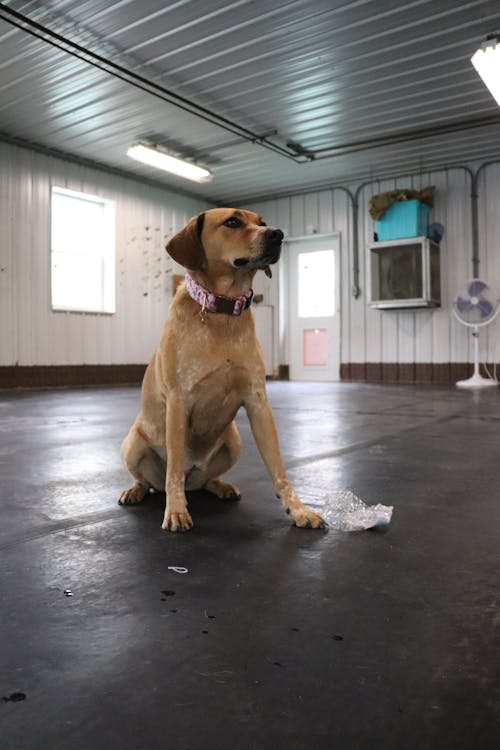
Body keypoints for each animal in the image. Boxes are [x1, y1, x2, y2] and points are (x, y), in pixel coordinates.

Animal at [119, 209, 326, 532]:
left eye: (262, 223)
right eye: (232, 222)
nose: (277, 234)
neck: (222, 312)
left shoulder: (257, 401)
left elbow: (279, 468)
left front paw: (298, 510)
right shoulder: (178, 402)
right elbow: (174, 468)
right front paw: (176, 511)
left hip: (234, 441)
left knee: (206, 480)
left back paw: (220, 485)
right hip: (132, 444)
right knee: (151, 480)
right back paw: (135, 490)